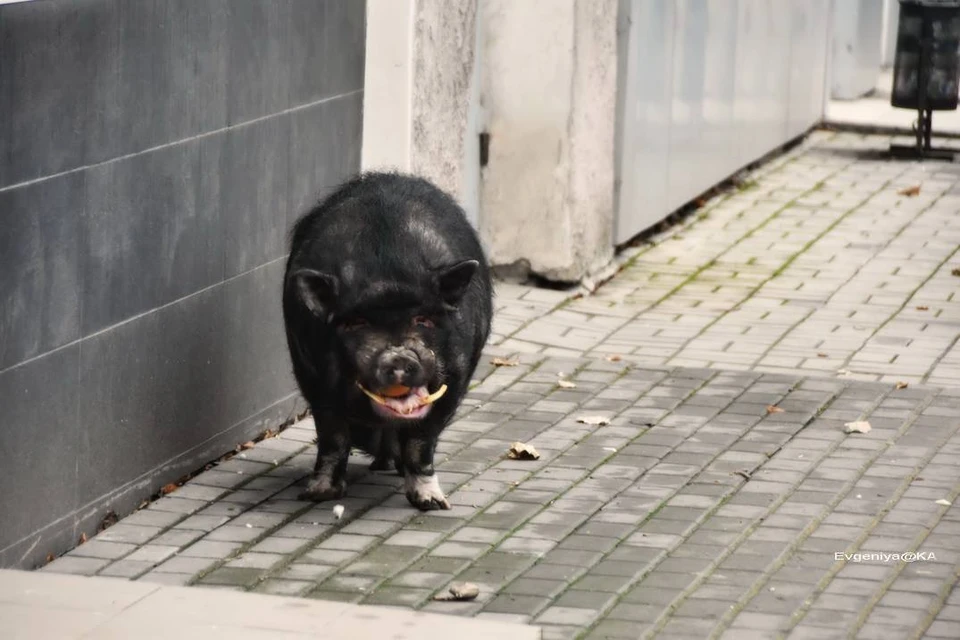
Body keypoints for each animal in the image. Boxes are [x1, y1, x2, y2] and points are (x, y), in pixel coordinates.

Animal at [280, 172, 492, 512]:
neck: (388, 273)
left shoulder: (454, 379)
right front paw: (319, 494)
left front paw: (433, 503)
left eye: (423, 320)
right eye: (355, 323)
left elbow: (422, 441)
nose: (399, 357)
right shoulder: (313, 377)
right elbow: (333, 436)